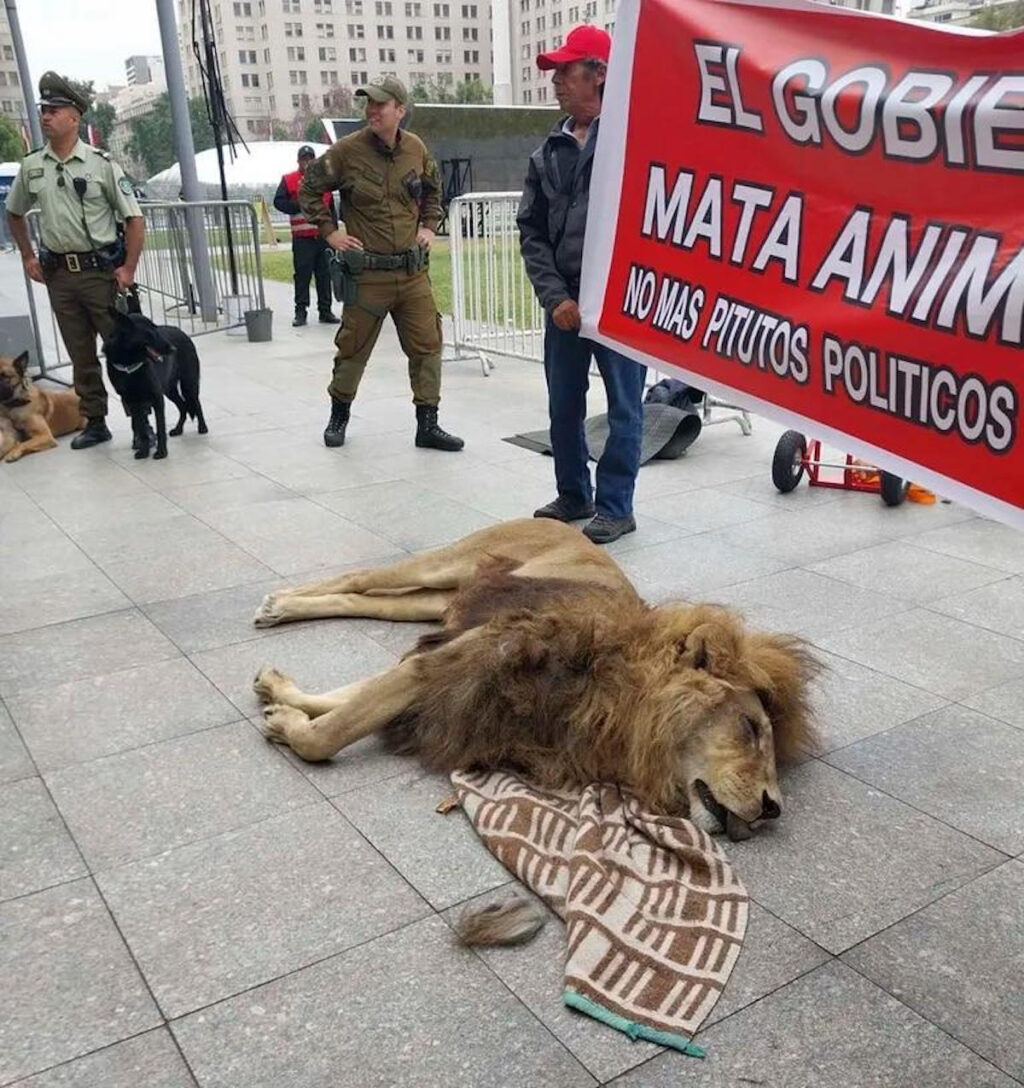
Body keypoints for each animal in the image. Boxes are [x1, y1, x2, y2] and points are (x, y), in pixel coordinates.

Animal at [103, 311, 207, 459]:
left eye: (156, 329)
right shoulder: (132, 402)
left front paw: (162, 452)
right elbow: (141, 429)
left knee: (196, 403)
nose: (173, 349)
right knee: (183, 406)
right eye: (150, 332)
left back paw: (202, 427)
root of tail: (181, 331)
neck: (130, 366)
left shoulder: (157, 398)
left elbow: (160, 426)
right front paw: (144, 451)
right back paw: (178, 429)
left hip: (188, 385)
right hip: (169, 390)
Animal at [251, 520, 818, 839]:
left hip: (437, 601)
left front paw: (282, 698)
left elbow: (350, 697)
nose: (773, 808)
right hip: (445, 565)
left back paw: (281, 614)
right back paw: (278, 602)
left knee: (364, 598)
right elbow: (332, 733)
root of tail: (568, 525)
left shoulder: (449, 659)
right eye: (750, 728)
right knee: (361, 578)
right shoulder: (467, 656)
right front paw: (289, 725)